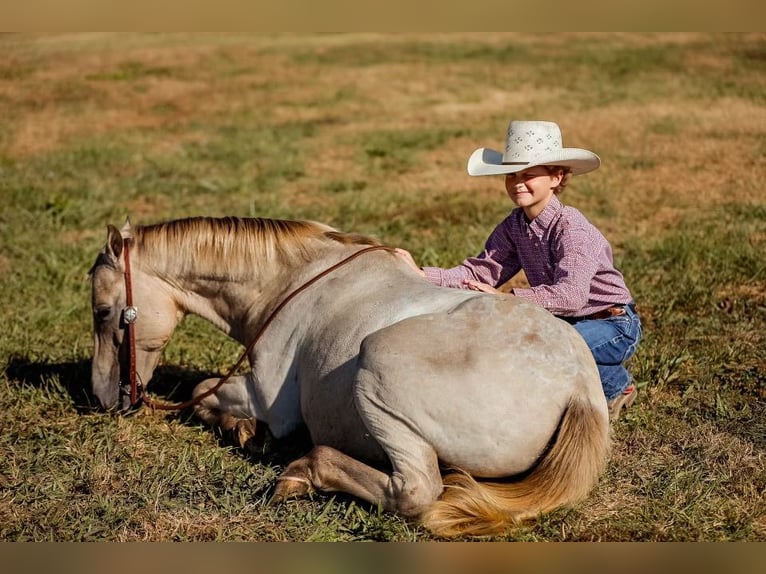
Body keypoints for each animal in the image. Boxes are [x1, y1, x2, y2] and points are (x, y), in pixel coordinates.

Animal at [89, 216, 610, 538]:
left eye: (102, 311)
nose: (99, 397)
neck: (292, 280)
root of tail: (578, 387)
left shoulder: (268, 400)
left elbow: (201, 393)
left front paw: (245, 430)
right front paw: (244, 430)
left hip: (377, 365)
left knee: (416, 492)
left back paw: (304, 473)